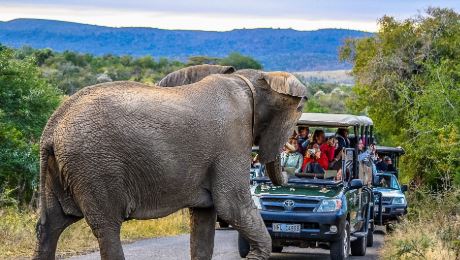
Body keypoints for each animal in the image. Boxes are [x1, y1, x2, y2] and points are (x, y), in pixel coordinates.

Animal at [34, 64, 308, 258]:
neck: (250, 78)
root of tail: (52, 127)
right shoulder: (233, 138)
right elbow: (232, 205)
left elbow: (204, 219)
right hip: (94, 166)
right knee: (107, 228)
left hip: (64, 167)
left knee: (51, 226)